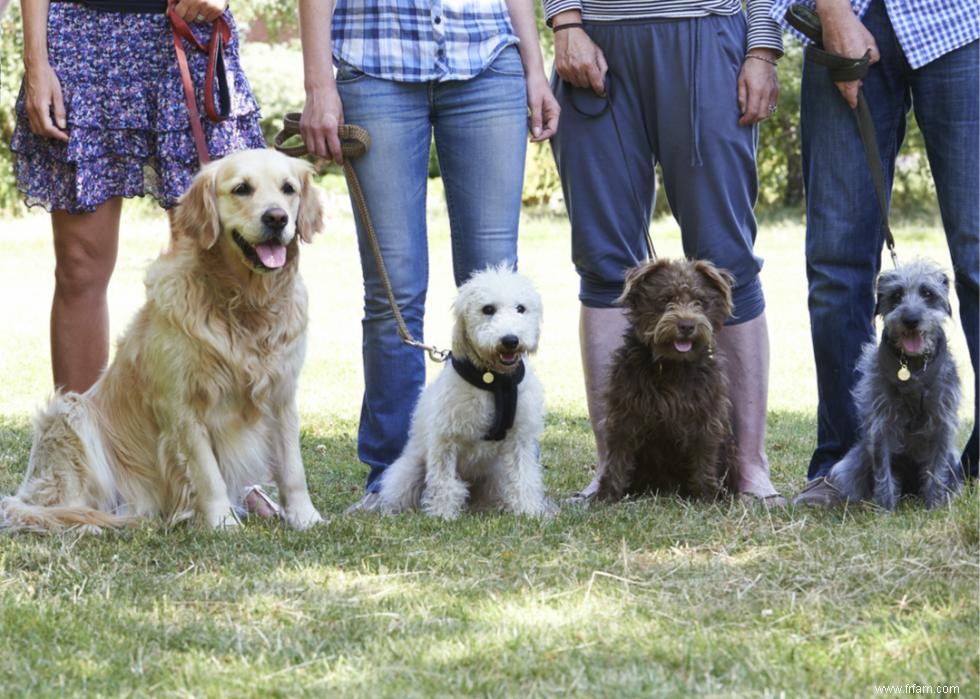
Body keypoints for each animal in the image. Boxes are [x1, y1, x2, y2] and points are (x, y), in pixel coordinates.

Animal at [378, 268, 552, 520]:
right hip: (408, 471)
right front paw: (442, 515)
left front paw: (528, 510)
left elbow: (524, 477)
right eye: (488, 309)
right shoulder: (446, 438)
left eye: (521, 308)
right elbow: (444, 482)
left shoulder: (520, 437)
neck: (494, 381)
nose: (510, 340)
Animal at [592, 258, 740, 504]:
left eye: (699, 302)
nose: (687, 325)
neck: (672, 365)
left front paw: (707, 498)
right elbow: (617, 458)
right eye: (666, 299)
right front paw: (606, 497)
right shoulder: (625, 413)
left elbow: (704, 457)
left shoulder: (706, 416)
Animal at [828, 260, 964, 512]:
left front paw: (933, 506)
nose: (911, 319)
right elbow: (883, 471)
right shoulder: (881, 423)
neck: (914, 366)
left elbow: (937, 469)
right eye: (897, 294)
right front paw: (885, 509)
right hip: (853, 463)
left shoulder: (942, 422)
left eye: (927, 293)